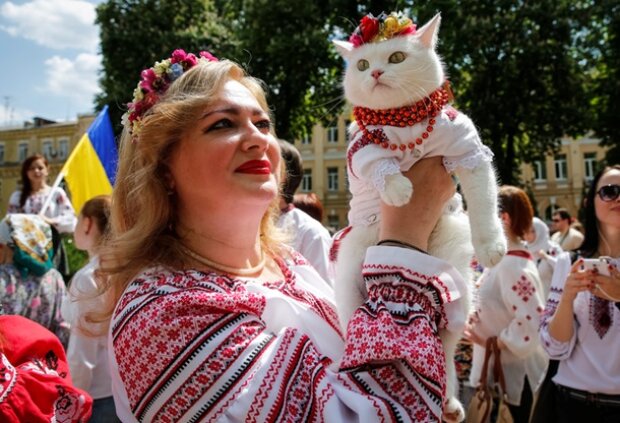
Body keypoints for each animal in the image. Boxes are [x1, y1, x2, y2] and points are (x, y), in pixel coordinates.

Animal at [332, 11, 506, 422]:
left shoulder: (467, 149)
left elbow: (483, 201)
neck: (403, 121)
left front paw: (492, 246)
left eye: (396, 57)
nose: (376, 72)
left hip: (459, 297)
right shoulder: (360, 150)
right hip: (348, 288)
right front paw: (400, 189)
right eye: (361, 64)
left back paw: (452, 403)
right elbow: (381, 165)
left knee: (443, 351)